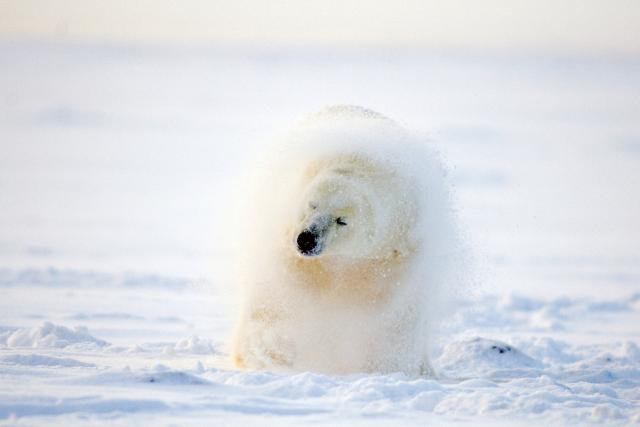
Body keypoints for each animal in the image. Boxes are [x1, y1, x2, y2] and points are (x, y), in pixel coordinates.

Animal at [231, 105, 456, 375]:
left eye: (342, 220)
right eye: (312, 204)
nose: (307, 239)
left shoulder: (397, 248)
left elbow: (394, 313)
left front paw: (387, 365)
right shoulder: (285, 233)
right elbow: (275, 294)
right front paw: (270, 350)